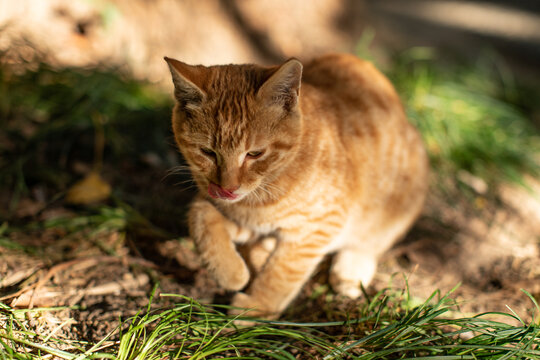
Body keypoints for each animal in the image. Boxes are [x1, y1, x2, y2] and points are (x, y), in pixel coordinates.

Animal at [163, 53, 426, 318]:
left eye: (254, 154)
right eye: (207, 152)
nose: (228, 187)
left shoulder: (317, 227)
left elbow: (281, 273)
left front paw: (257, 307)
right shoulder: (237, 215)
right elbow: (200, 215)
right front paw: (231, 273)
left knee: (371, 242)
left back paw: (350, 272)